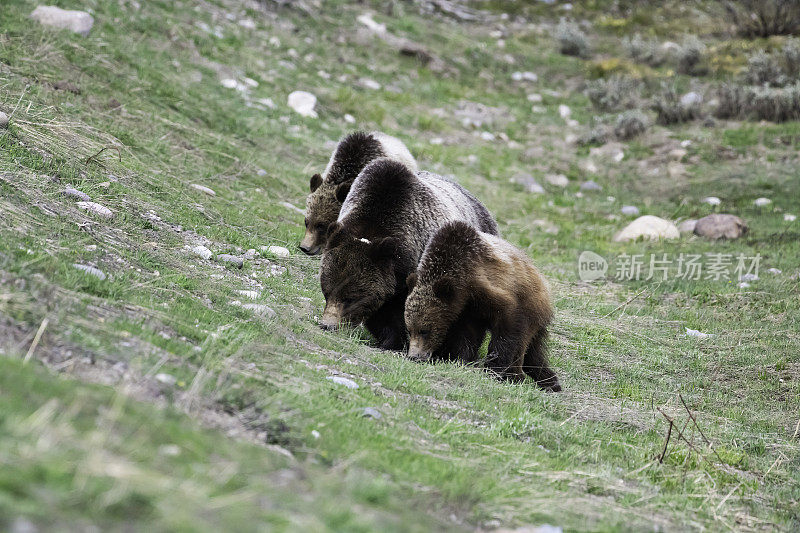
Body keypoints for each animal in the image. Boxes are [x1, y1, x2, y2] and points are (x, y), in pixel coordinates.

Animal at [404, 220, 560, 390]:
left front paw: (495, 368)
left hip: (533, 307)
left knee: (524, 346)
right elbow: (467, 336)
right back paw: (549, 380)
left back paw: (519, 376)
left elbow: (507, 328)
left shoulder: (488, 289)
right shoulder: (467, 310)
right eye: (409, 329)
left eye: (424, 330)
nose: (414, 356)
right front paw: (463, 360)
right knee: (534, 353)